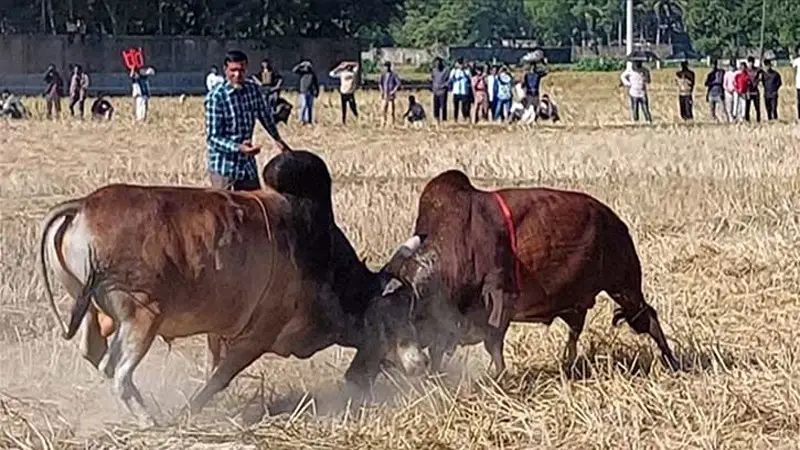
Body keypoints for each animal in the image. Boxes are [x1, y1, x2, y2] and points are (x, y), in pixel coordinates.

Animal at [39, 183, 424, 426]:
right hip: (142, 319)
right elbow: (219, 377)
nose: (419, 361)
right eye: (392, 317)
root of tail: (84, 206)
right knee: (116, 371)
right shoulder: (257, 337)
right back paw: (150, 419)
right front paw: (192, 410)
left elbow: (214, 364)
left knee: (94, 353)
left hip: (94, 312)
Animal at [384, 171, 680, 378]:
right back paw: (568, 365)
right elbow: (441, 350)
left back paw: (672, 361)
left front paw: (501, 379)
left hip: (625, 287)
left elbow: (493, 345)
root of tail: (615, 221)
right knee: (577, 332)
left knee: (648, 317)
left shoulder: (500, 298)